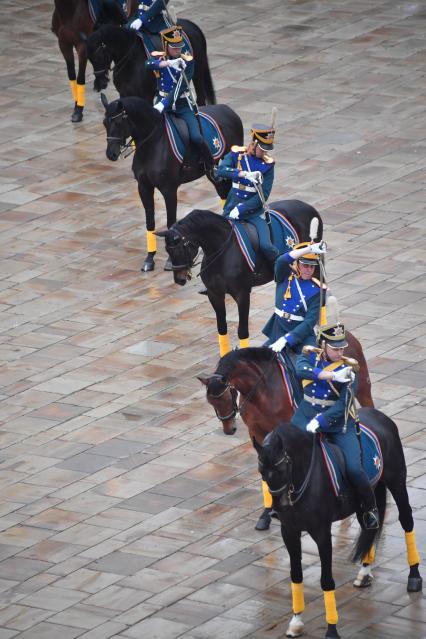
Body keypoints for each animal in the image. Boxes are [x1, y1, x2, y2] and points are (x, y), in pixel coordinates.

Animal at [86, 22, 215, 105]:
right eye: (89, 59)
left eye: (98, 56)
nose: (100, 83)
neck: (130, 60)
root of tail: (194, 26)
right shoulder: (125, 94)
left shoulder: (145, 95)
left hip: (197, 73)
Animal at [100, 96, 245, 272]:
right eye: (104, 123)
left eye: (118, 122)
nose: (111, 154)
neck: (152, 144)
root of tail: (229, 111)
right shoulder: (144, 187)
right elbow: (150, 222)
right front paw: (150, 258)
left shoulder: (169, 189)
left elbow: (171, 222)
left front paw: (171, 259)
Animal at [156, 201, 322, 356]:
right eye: (167, 250)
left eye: (182, 247)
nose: (179, 279)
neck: (222, 250)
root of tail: (306, 205)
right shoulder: (214, 294)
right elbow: (222, 329)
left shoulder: (242, 295)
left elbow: (242, 330)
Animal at [253, 416, 422, 639]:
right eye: (261, 472)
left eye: (281, 469)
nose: (278, 507)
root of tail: (381, 417)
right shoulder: (289, 532)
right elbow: (296, 574)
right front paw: (296, 621)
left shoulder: (322, 533)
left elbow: (326, 580)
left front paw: (332, 629)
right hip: (363, 502)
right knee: (369, 528)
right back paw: (364, 572)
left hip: (396, 481)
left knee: (406, 520)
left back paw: (414, 576)